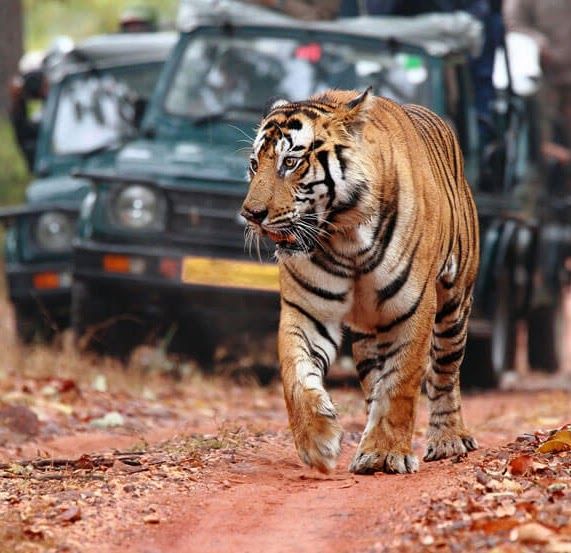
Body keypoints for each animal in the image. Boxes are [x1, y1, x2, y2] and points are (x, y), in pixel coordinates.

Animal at [239, 88, 480, 472]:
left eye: (290, 163)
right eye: (253, 164)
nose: (250, 214)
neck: (344, 236)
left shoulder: (413, 308)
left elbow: (401, 382)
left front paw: (384, 453)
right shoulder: (307, 311)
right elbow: (296, 375)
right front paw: (318, 442)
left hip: (454, 306)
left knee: (445, 373)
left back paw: (448, 440)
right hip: (369, 333)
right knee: (374, 380)